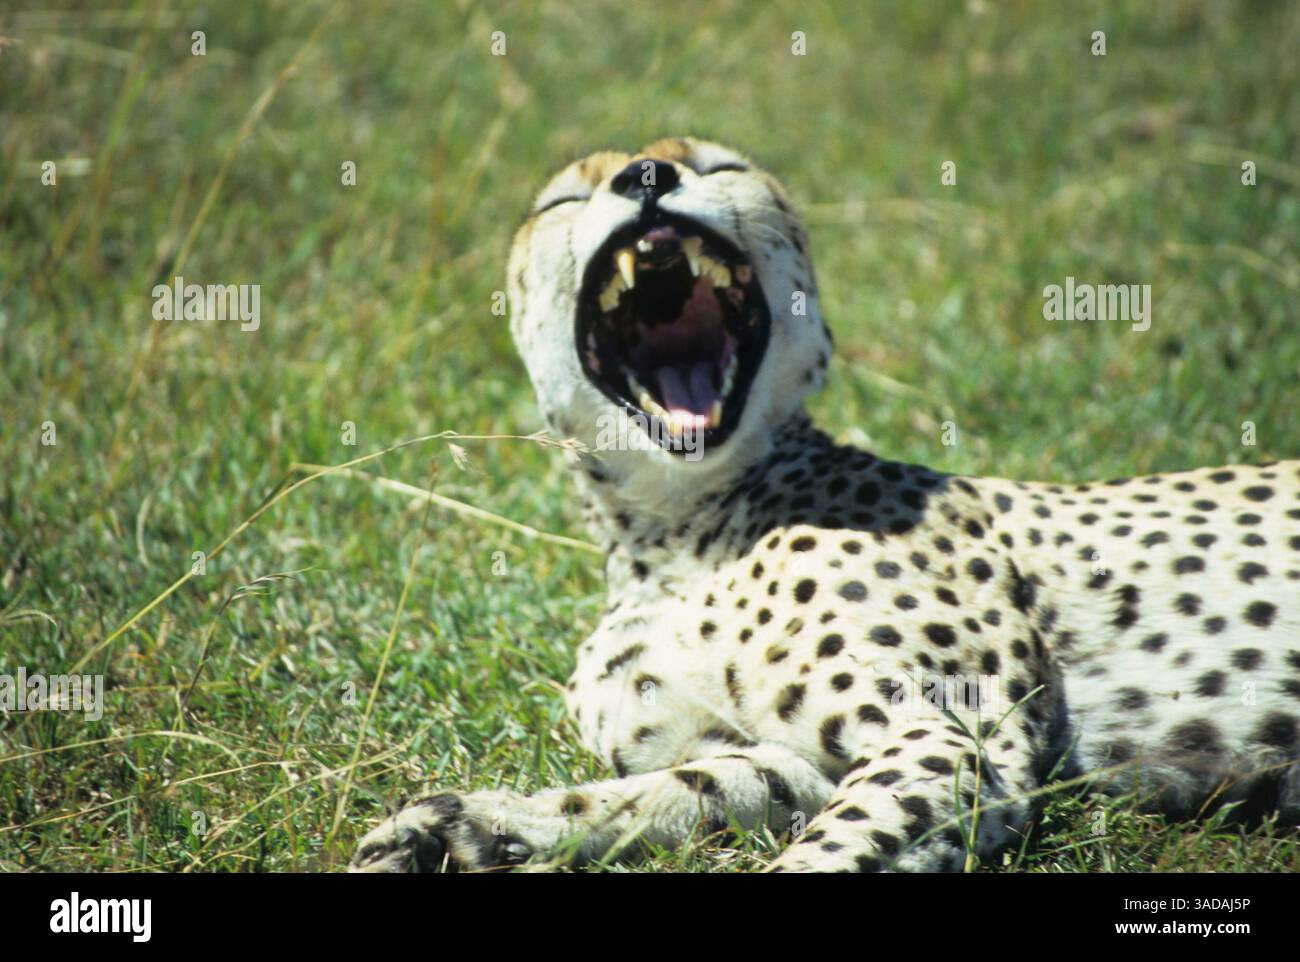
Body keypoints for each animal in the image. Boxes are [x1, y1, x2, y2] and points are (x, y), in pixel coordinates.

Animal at [350, 137, 1300, 873]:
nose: (649, 175)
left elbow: (828, 847)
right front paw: (472, 824)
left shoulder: (962, 740)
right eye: (566, 198)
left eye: (719, 165)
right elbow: (683, 786)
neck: (676, 528)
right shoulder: (786, 758)